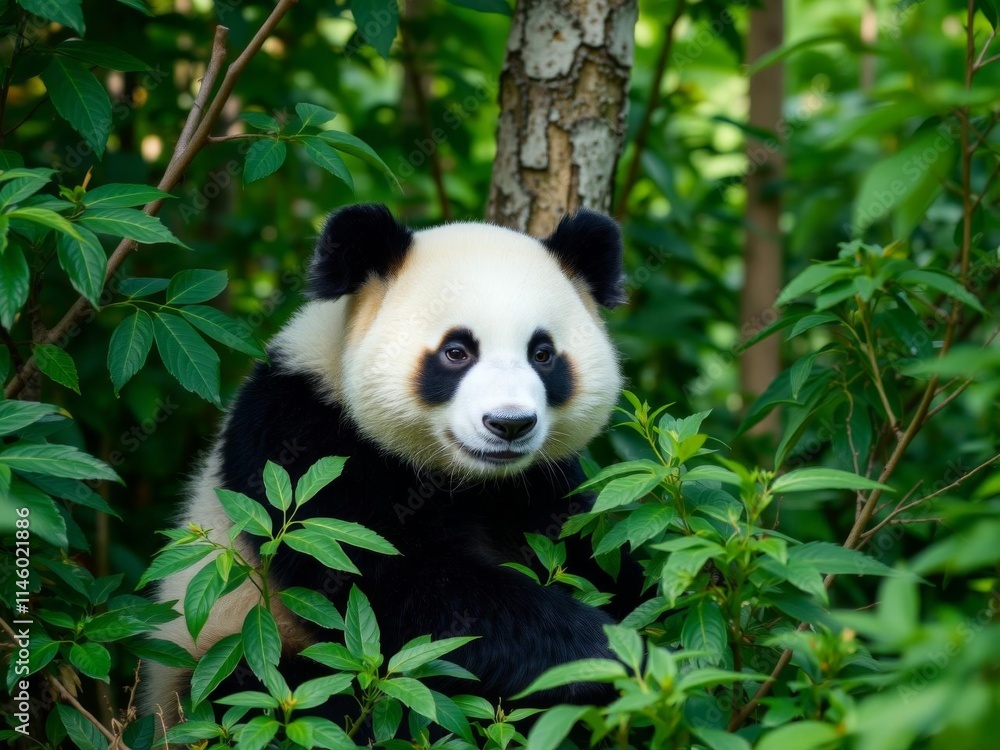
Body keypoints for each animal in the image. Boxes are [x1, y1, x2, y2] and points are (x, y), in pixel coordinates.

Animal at [144, 203, 641, 725]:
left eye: (543, 354)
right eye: (456, 352)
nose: (510, 424)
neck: (469, 478)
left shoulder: (540, 482)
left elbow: (590, 546)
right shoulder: (304, 442)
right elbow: (397, 589)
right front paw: (604, 650)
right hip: (226, 660)